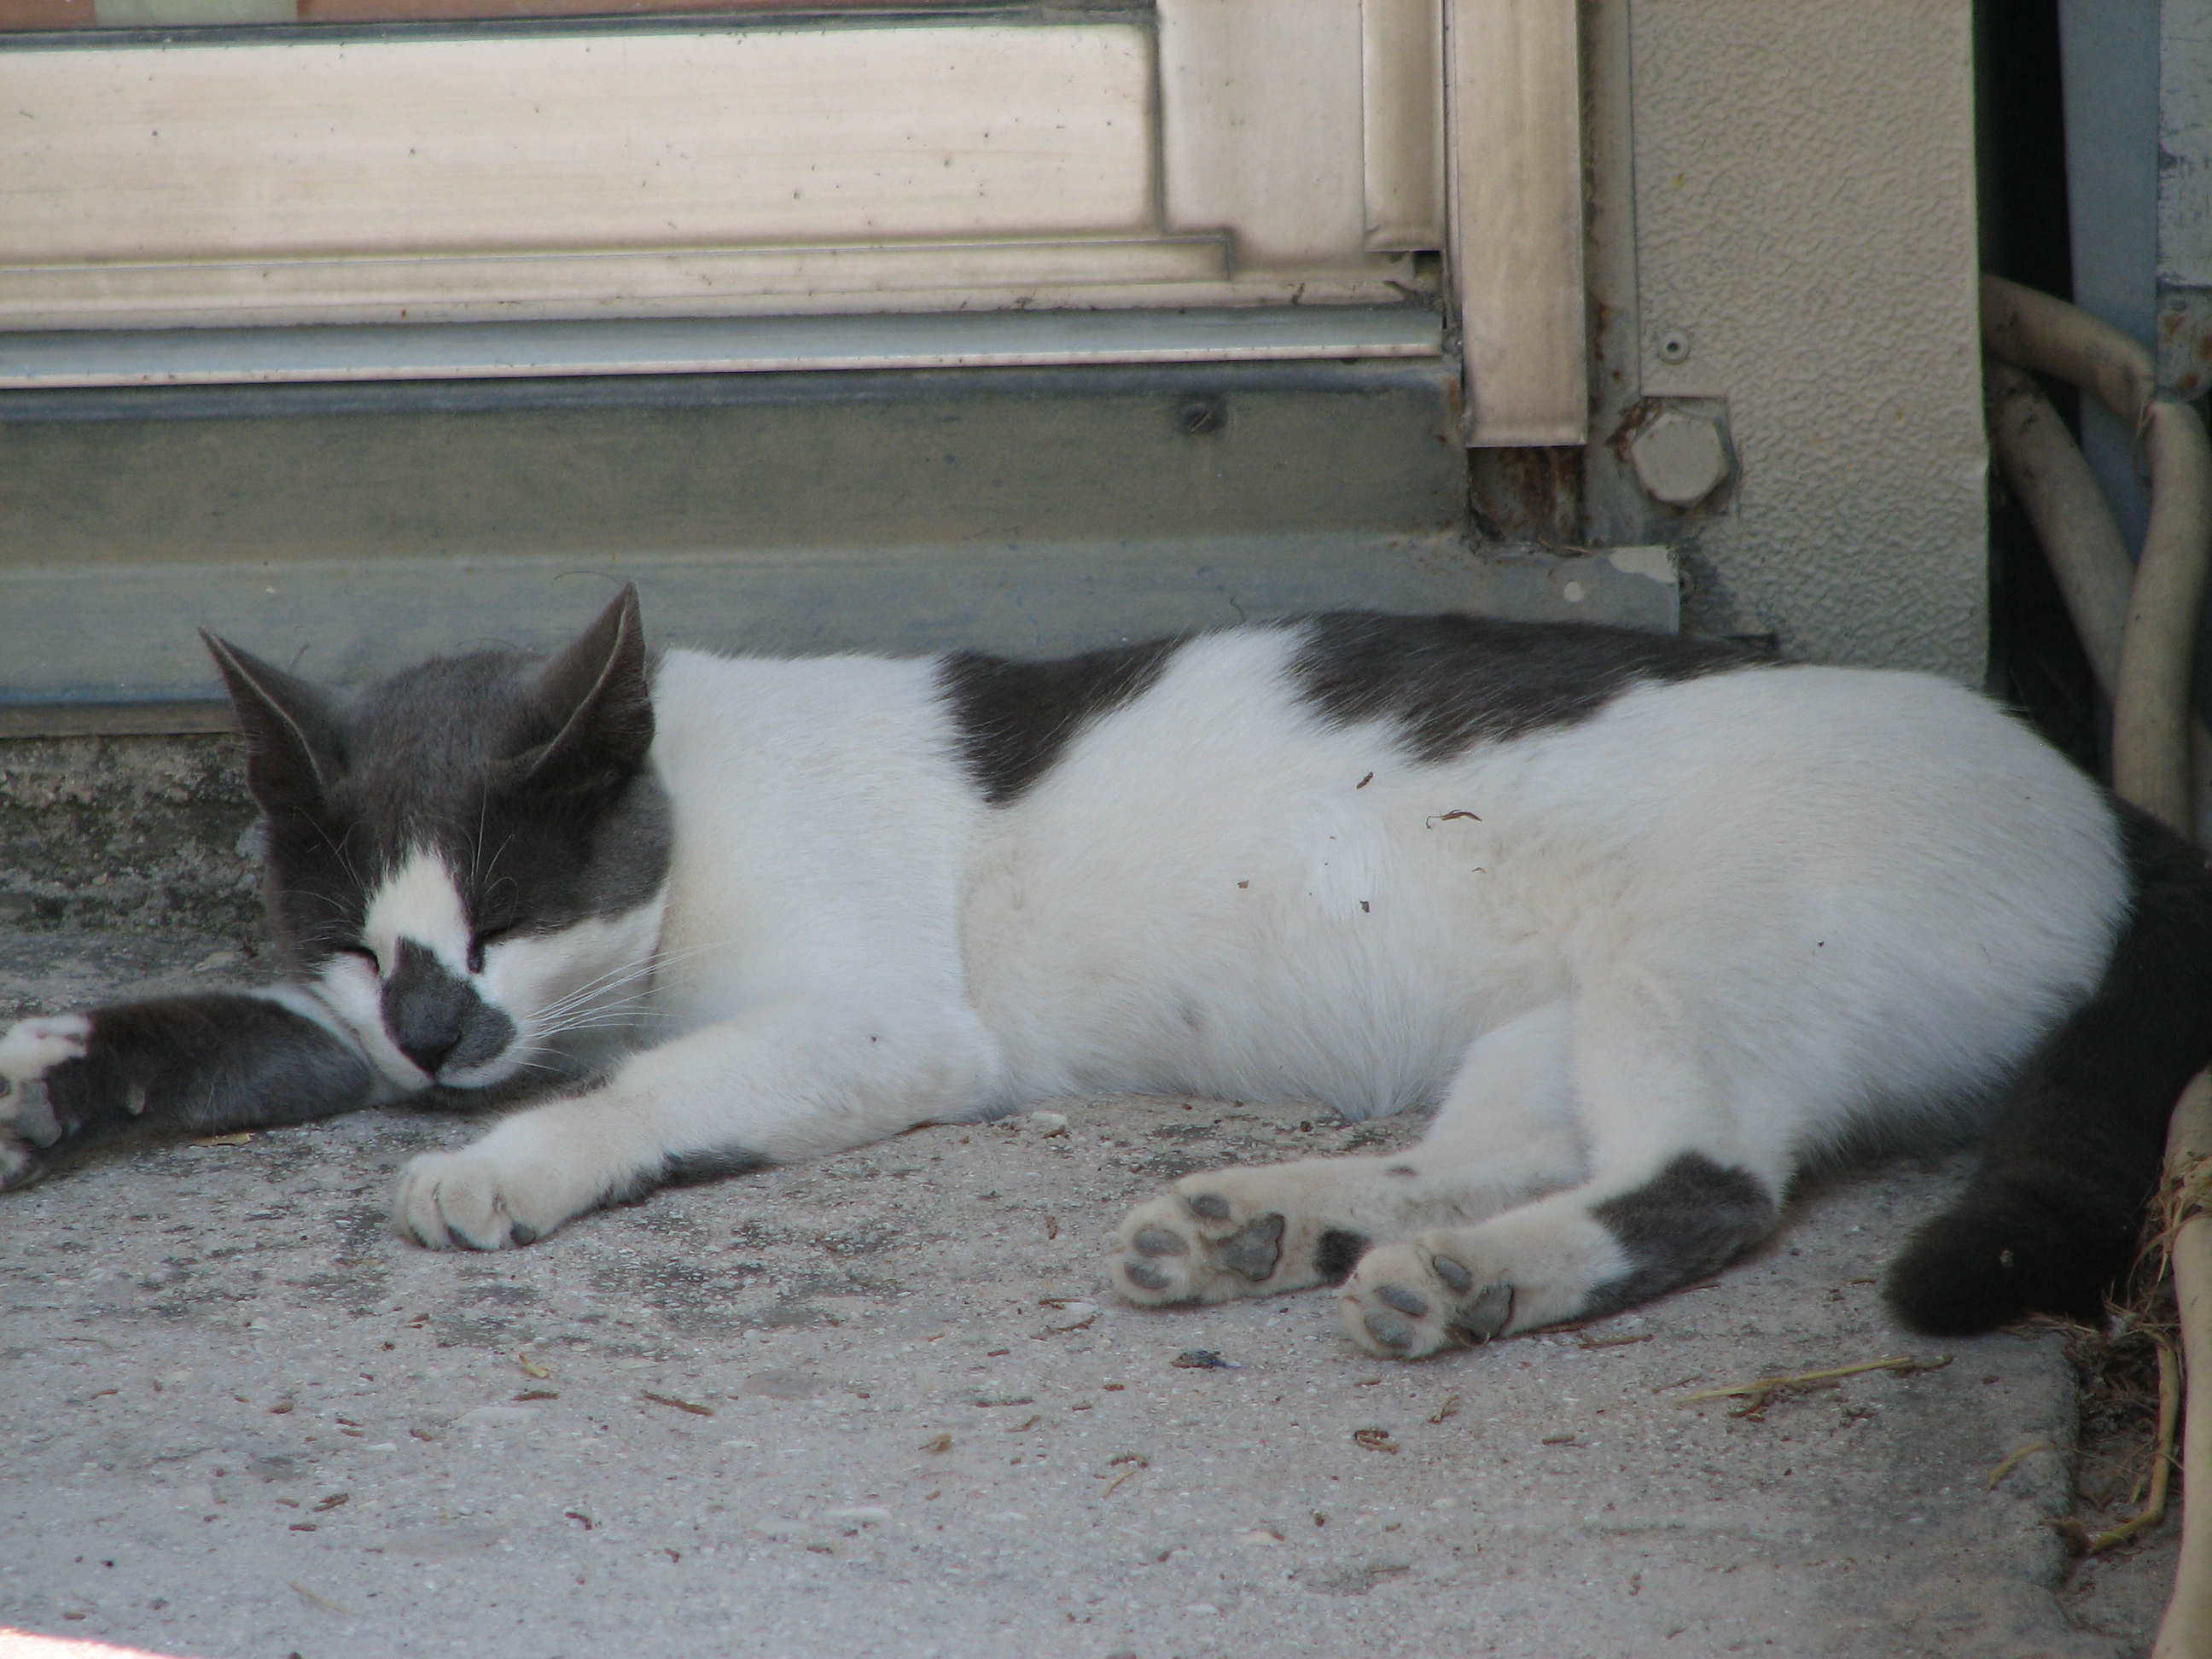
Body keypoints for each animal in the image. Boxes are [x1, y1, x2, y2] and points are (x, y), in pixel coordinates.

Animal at [3, 585, 2207, 1359]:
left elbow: (643, 1085)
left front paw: (504, 1162)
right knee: (1510, 1143)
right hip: (1548, 1023)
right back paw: (1277, 1224)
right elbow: (213, 1027)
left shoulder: (884, 1023)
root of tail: (2106, 796)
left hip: (1693, 970)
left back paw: (1459, 1286)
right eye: (363, 936)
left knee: (1704, 1185)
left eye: (506, 913)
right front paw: (42, 1068)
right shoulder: (331, 1020)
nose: (443, 1031)